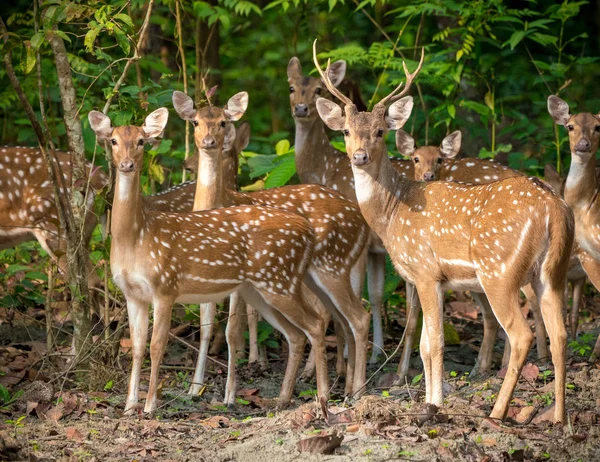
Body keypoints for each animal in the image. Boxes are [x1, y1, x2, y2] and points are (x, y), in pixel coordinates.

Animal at [89, 109, 332, 416]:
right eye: (113, 140)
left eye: (142, 141)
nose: (127, 165)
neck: (136, 237)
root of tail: (308, 231)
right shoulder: (132, 293)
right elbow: (136, 346)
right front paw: (129, 405)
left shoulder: (165, 286)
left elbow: (157, 345)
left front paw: (150, 406)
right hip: (260, 290)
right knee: (296, 334)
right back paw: (283, 400)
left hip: (279, 281)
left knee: (315, 323)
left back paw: (322, 398)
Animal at [171, 89, 372, 400]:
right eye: (195, 122)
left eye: (223, 122)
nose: (209, 142)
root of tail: (361, 221)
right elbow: (206, 326)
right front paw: (195, 387)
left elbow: (232, 329)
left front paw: (230, 393)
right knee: (342, 317)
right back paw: (342, 383)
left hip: (330, 267)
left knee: (353, 317)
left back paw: (351, 390)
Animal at [314, 43, 572, 422]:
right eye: (345, 131)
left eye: (380, 131)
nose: (359, 156)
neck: (393, 212)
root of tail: (554, 209)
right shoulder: (432, 279)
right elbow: (424, 344)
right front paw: (430, 400)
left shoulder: (424, 271)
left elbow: (433, 343)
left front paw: (433, 403)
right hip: (552, 272)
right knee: (561, 333)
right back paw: (559, 417)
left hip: (500, 270)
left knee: (521, 334)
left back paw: (497, 412)